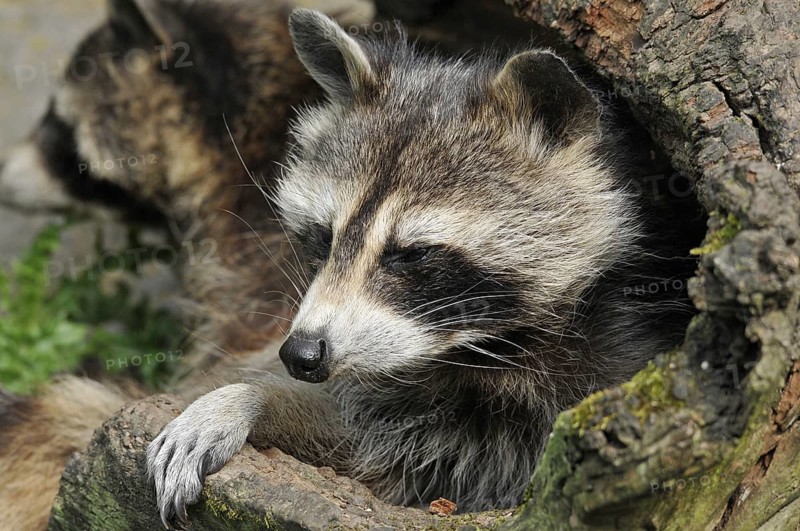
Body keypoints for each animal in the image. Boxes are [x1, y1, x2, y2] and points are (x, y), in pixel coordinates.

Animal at [146, 8, 693, 524]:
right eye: (325, 236)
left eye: (411, 254)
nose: (301, 354)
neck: (486, 356)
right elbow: (356, 442)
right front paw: (247, 399)